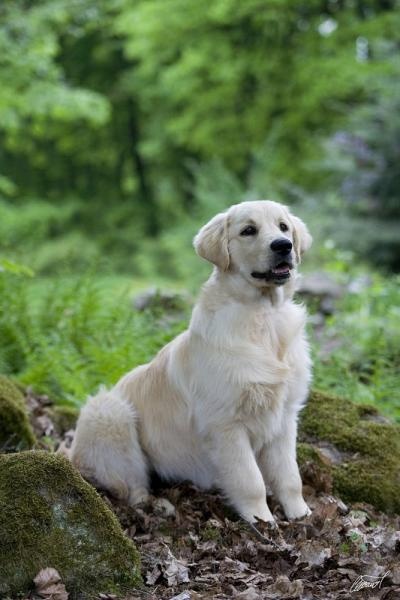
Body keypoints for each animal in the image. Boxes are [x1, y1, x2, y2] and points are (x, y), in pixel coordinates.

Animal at [71, 199, 312, 524]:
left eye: (283, 227)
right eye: (248, 230)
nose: (283, 245)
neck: (263, 316)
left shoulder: (285, 417)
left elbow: (290, 475)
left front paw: (301, 515)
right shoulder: (226, 425)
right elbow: (250, 480)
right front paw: (262, 520)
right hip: (110, 413)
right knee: (132, 489)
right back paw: (160, 507)